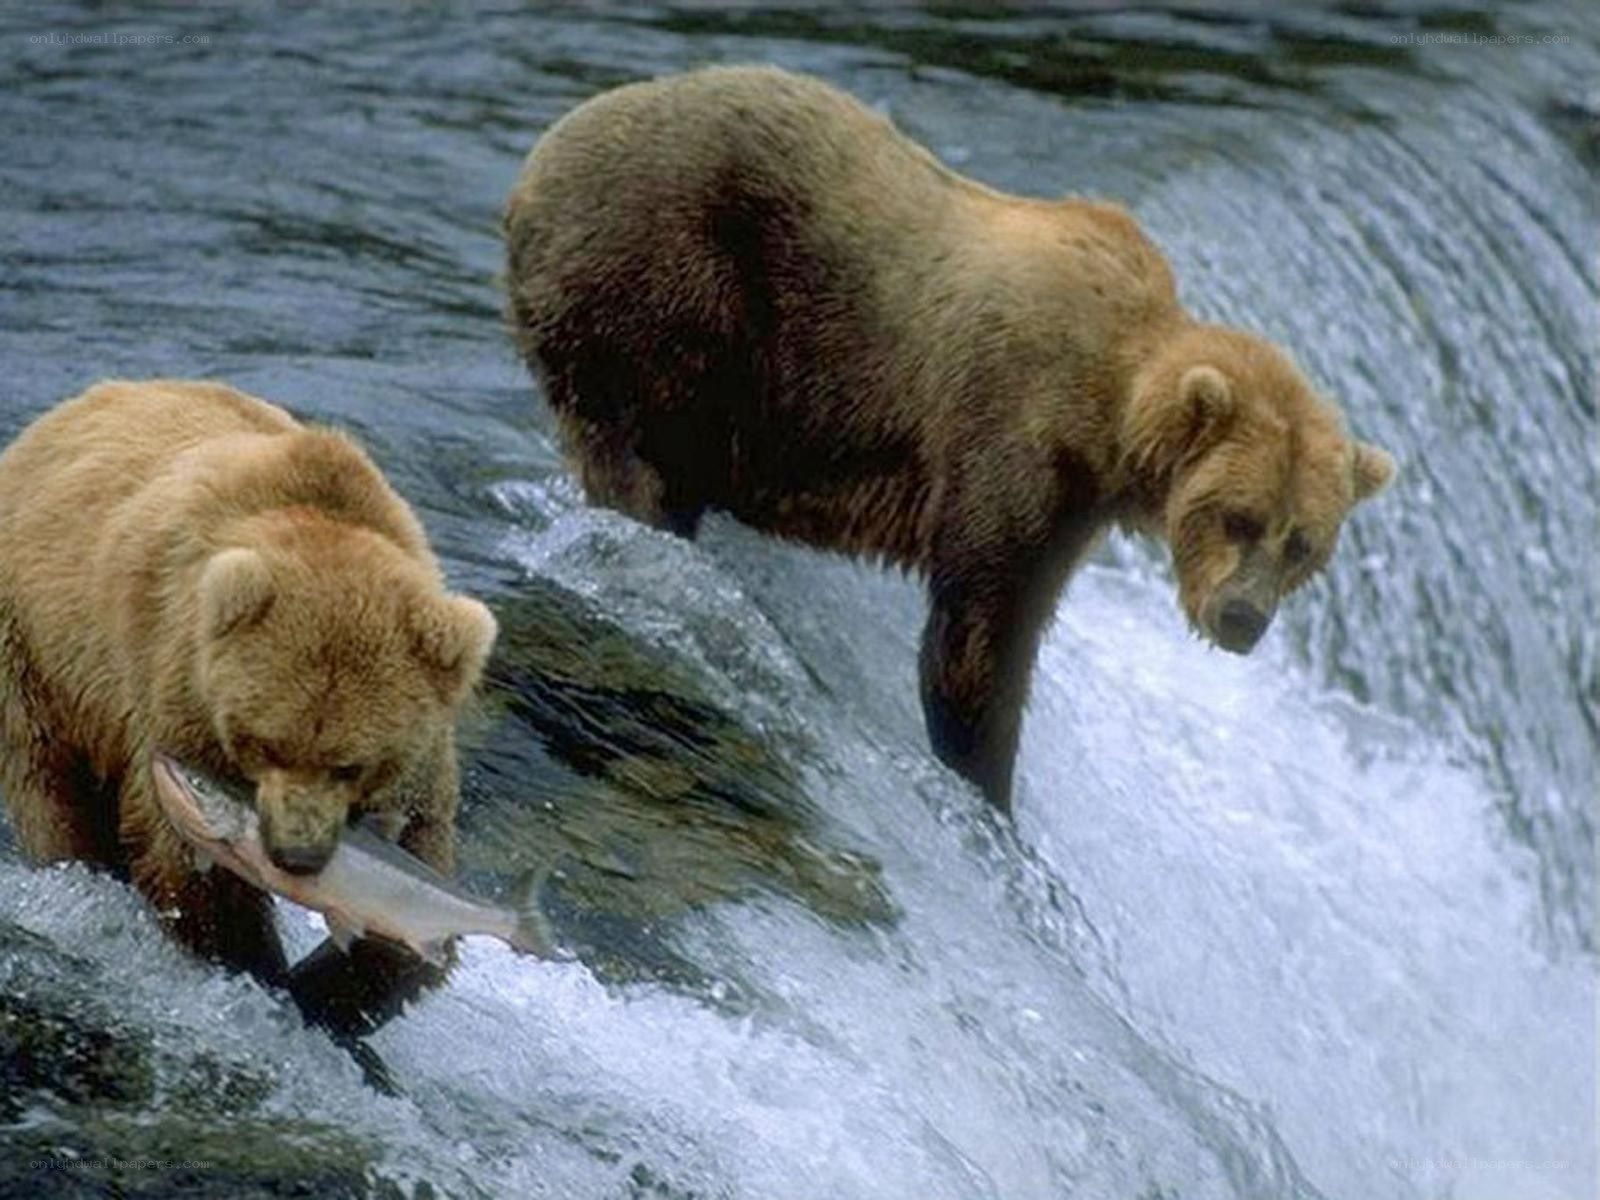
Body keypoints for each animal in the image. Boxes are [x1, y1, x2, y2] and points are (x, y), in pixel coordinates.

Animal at [0, 379, 497, 1040]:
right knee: (50, 784)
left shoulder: (419, 761)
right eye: (266, 744)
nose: (296, 856)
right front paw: (257, 970)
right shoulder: (178, 698)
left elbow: (419, 860)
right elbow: (189, 861)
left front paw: (342, 985)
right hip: (39, 651)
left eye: (350, 765)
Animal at [503, 66, 1395, 812]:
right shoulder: (1009, 429)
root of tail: (534, 166)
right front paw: (985, 775)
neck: (1110, 418)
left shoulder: (1074, 504)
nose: (1243, 619)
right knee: (641, 456)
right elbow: (979, 626)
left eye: (1303, 545)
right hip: (662, 282)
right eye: (1238, 517)